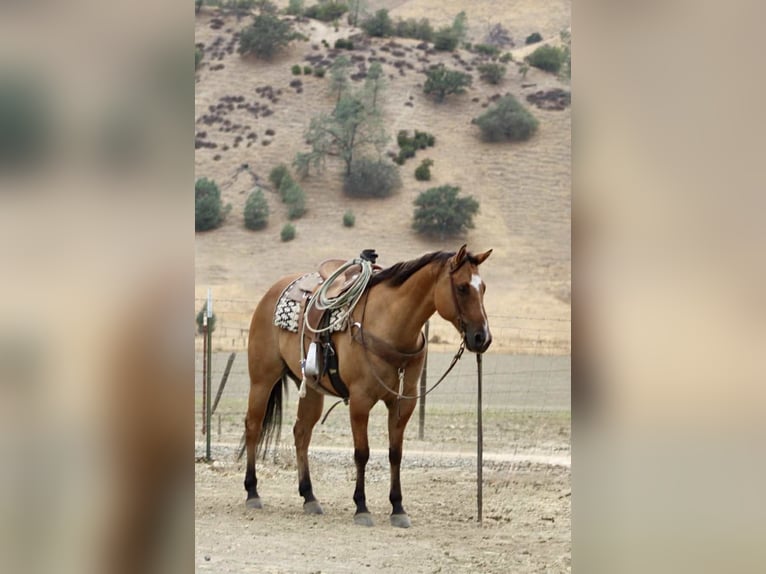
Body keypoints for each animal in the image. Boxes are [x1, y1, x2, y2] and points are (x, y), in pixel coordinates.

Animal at [243, 244, 492, 527]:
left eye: (483, 288)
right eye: (462, 287)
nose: (482, 338)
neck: (390, 324)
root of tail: (273, 291)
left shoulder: (404, 401)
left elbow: (395, 453)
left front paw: (398, 508)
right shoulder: (361, 401)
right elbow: (362, 452)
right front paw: (361, 507)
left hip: (311, 390)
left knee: (301, 433)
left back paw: (309, 497)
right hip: (262, 379)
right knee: (253, 426)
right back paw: (252, 492)